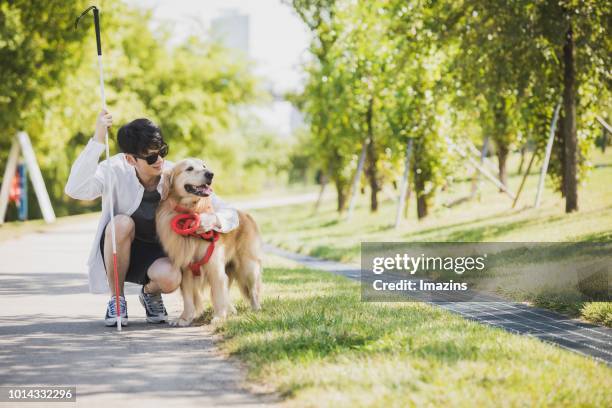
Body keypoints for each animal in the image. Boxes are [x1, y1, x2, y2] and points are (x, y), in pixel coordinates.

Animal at [155, 158, 260, 326]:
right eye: (189, 168)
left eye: (204, 166)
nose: (210, 174)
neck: (189, 212)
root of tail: (245, 214)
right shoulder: (185, 270)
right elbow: (188, 299)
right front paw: (185, 318)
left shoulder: (215, 268)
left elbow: (217, 295)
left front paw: (219, 317)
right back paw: (231, 310)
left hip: (248, 265)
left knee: (253, 289)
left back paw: (255, 309)